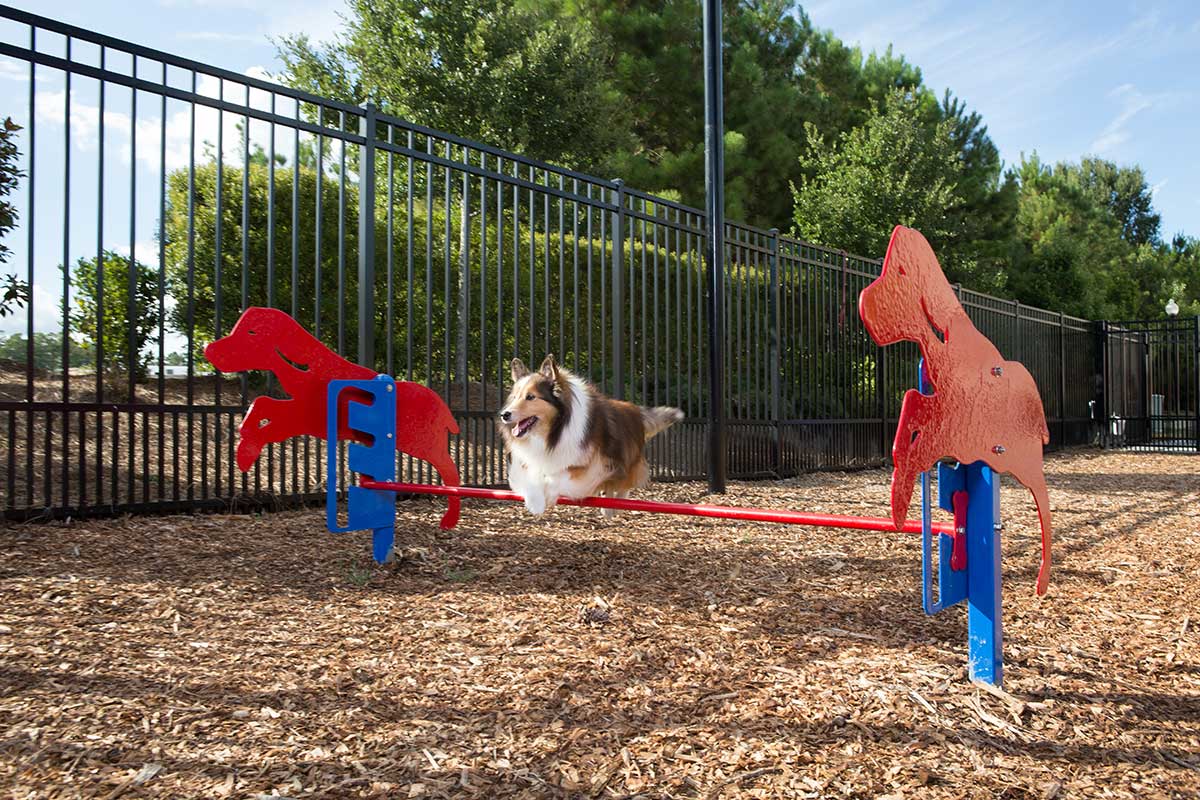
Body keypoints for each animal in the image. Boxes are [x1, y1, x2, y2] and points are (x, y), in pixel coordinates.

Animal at [499, 352, 686, 515]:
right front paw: (535, 502)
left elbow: (559, 477)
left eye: (530, 397)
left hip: (627, 457)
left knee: (625, 482)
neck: (553, 432)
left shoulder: (595, 465)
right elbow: (532, 478)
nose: (504, 414)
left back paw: (613, 507)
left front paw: (549, 495)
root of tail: (636, 411)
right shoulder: (530, 461)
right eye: (514, 397)